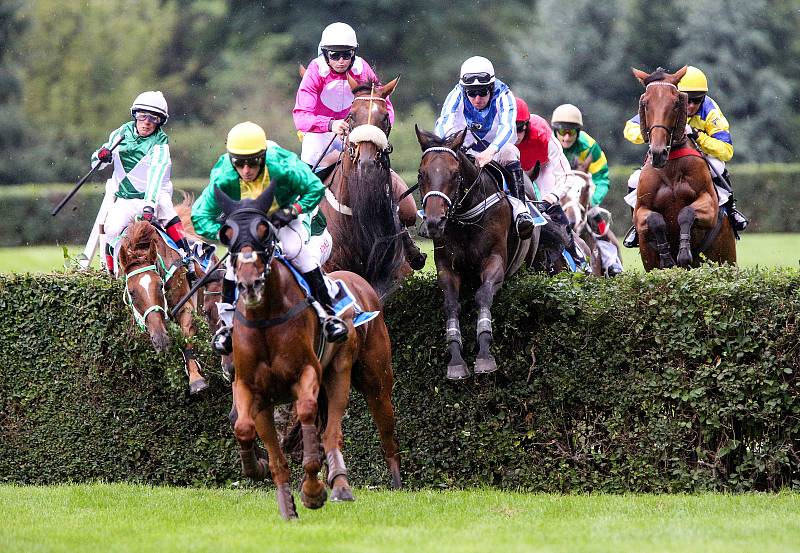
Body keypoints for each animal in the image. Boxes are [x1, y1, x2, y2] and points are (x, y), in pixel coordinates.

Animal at [118, 219, 208, 392]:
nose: (161, 339)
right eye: (131, 293)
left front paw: (195, 379)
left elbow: (185, 333)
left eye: (160, 286)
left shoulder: (185, 304)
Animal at [214, 185, 400, 516]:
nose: (249, 283)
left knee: (367, 428)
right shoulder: (251, 387)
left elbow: (306, 420)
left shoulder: (306, 375)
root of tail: (361, 284)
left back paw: (378, 483)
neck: (266, 319)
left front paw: (311, 490)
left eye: (265, 232)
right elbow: (245, 427)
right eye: (227, 234)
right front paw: (259, 467)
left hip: (364, 378)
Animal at [416, 126, 540, 380]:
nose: (434, 222)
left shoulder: (494, 260)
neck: (466, 219)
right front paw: (455, 361)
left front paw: (484, 356)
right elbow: (451, 304)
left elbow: (483, 296)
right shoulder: (446, 266)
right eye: (421, 174)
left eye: (455, 174)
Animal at [632, 66, 736, 270]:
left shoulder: (710, 206)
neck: (670, 168)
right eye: (646, 103)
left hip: (727, 258)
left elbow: (685, 213)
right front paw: (666, 257)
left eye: (675, 103)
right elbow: (655, 219)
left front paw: (684, 252)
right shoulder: (640, 212)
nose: (658, 152)